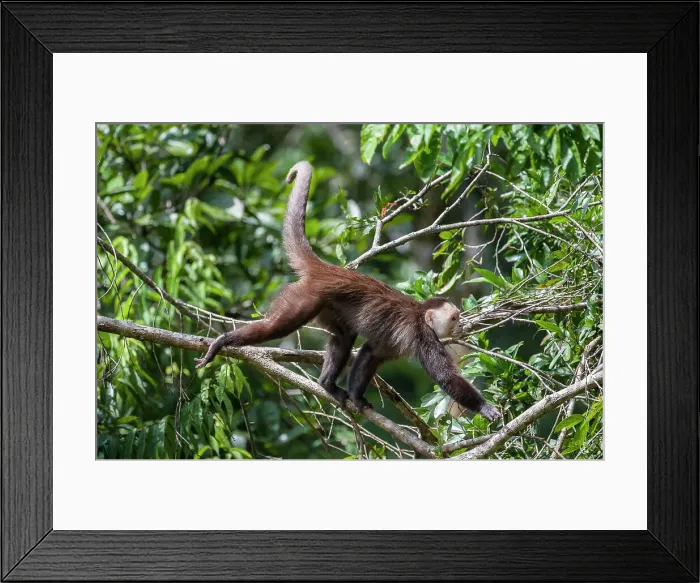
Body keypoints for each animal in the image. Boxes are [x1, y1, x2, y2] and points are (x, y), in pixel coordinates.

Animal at [195, 161, 501, 422]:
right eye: (454, 318)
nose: (461, 326)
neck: (420, 317)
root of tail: (326, 269)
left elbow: (370, 352)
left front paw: (356, 395)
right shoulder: (422, 336)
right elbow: (446, 378)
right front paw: (485, 407)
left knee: (344, 337)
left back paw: (327, 385)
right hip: (306, 297)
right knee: (278, 326)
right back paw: (223, 341)